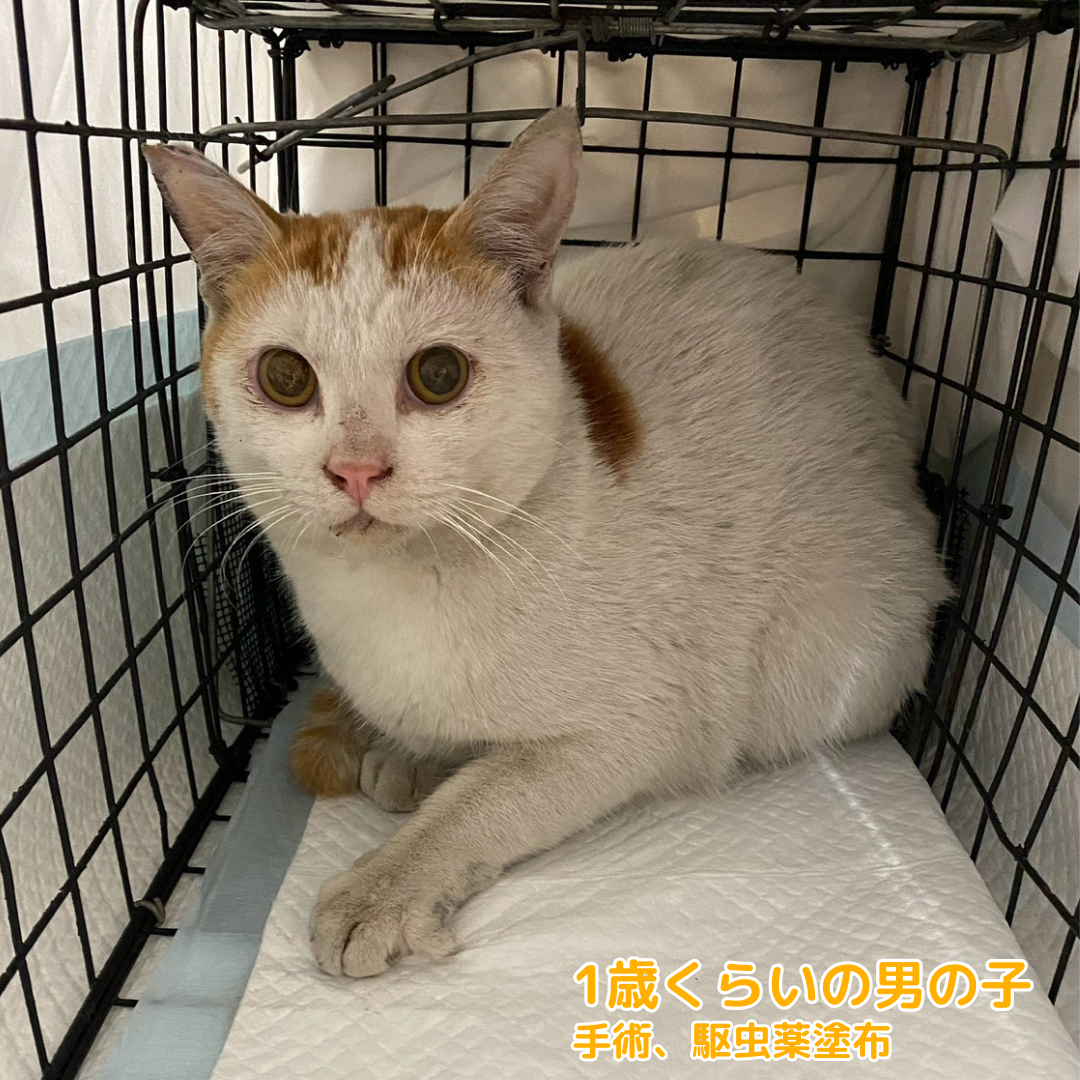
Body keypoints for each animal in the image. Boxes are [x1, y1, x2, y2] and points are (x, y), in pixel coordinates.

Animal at [144, 108, 950, 979]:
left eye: (437, 374)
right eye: (287, 378)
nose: (356, 468)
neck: (391, 598)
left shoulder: (636, 725)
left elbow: (485, 799)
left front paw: (390, 880)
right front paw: (415, 753)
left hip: (835, 647)